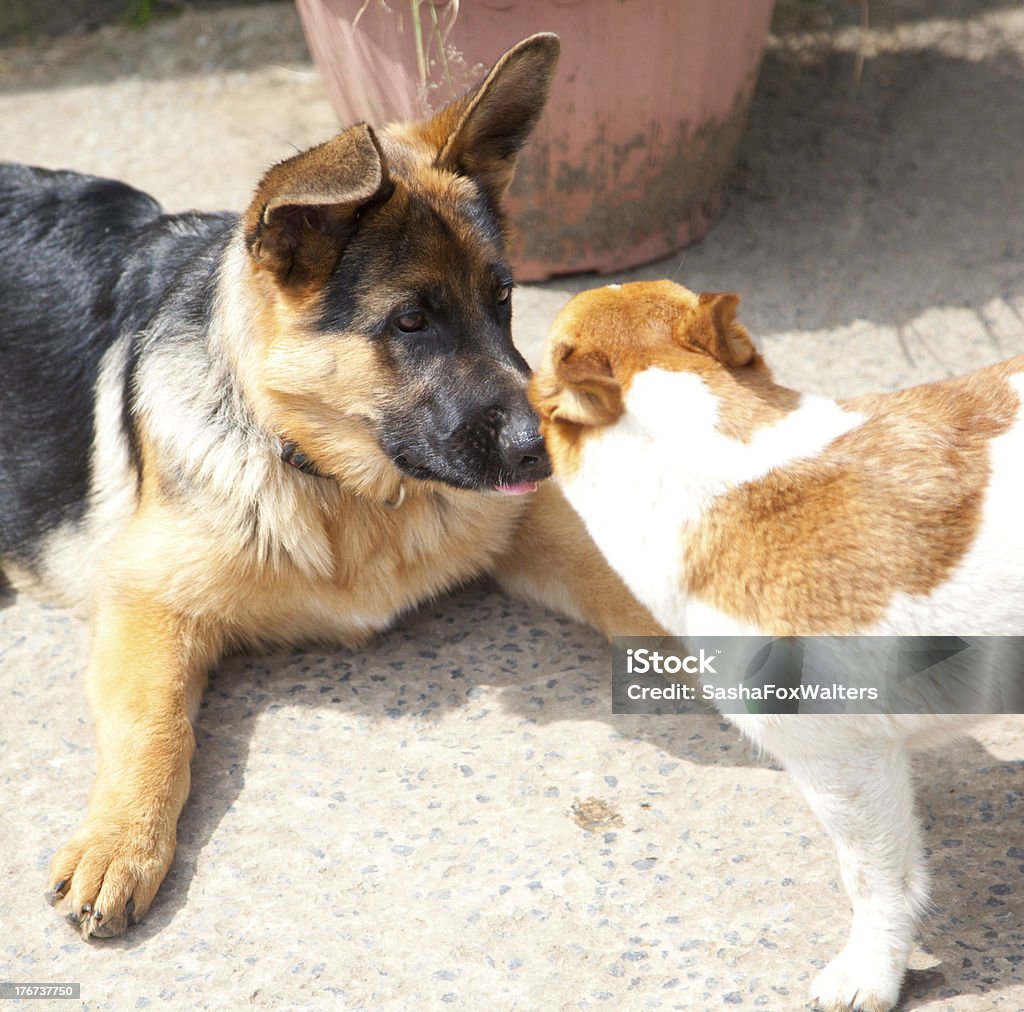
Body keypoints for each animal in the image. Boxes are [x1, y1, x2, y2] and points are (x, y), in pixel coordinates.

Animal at [0, 37, 655, 942]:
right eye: (410, 321)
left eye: (503, 300)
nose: (542, 455)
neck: (336, 482)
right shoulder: (145, 602)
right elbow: (154, 727)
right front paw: (119, 841)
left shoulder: (520, 523)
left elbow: (625, 585)